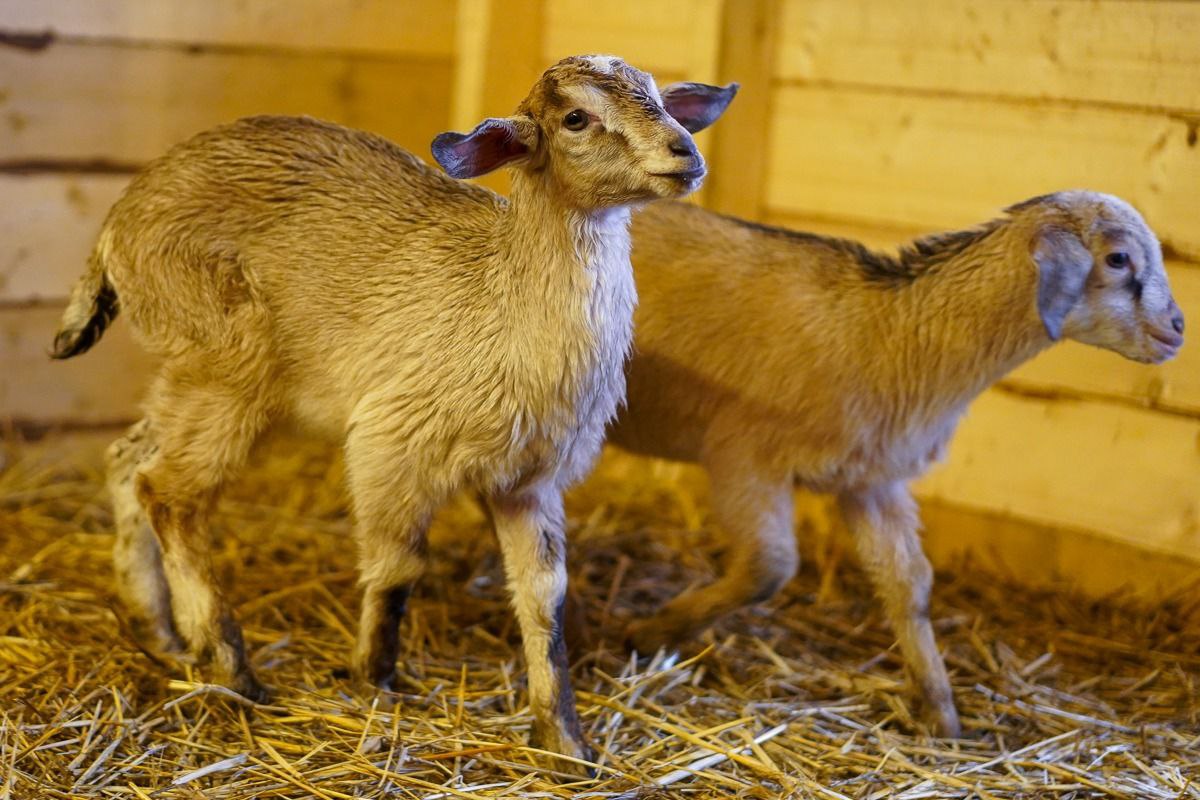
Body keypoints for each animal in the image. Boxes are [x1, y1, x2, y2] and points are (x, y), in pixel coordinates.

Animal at [50, 54, 737, 764]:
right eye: (576, 118)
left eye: (660, 99)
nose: (685, 154)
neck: (503, 303)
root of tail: (118, 222)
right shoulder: (391, 446)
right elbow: (397, 567)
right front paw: (373, 678)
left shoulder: (529, 478)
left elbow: (544, 595)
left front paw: (564, 740)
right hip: (224, 367)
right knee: (171, 494)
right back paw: (231, 667)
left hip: (189, 373)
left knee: (128, 460)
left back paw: (155, 628)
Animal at [609, 191, 1184, 737]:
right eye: (1118, 258)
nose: (1177, 328)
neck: (891, 334)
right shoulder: (743, 456)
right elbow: (769, 568)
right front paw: (652, 633)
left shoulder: (871, 482)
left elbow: (910, 584)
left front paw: (942, 717)